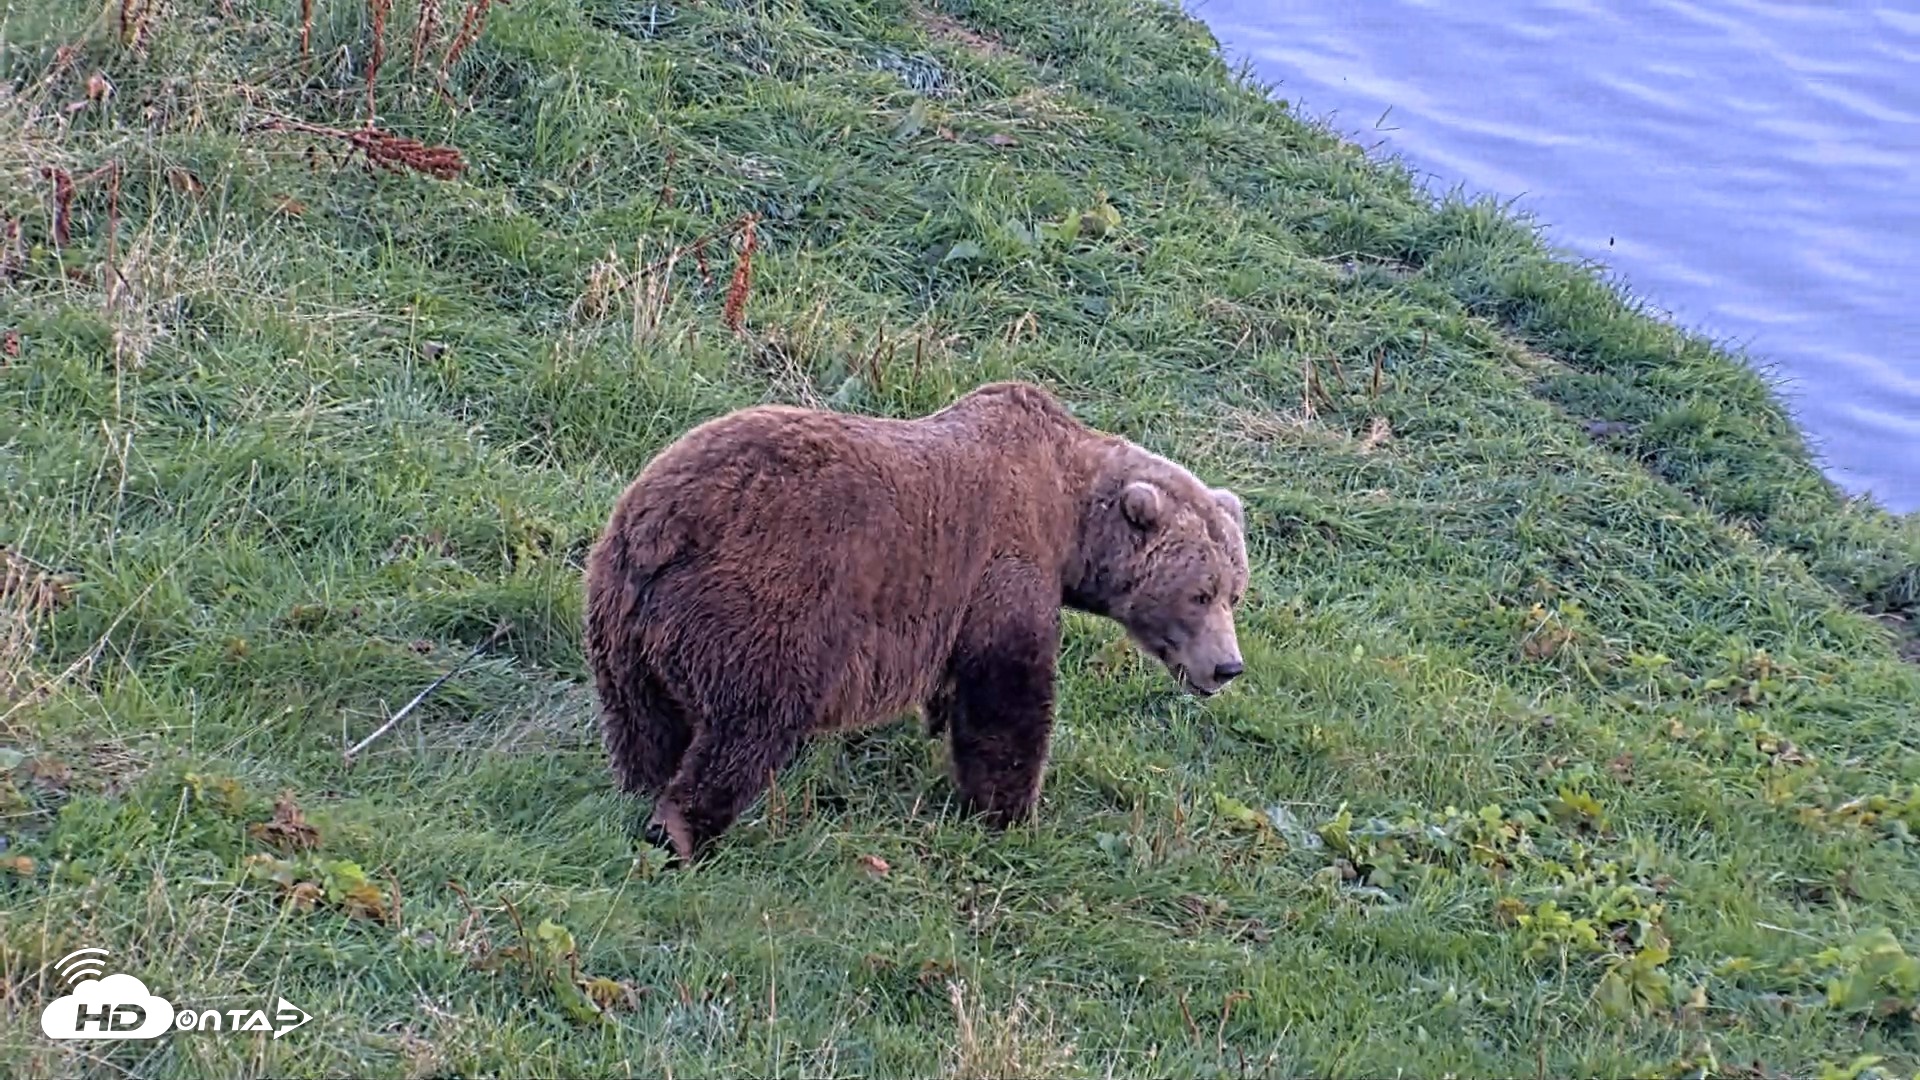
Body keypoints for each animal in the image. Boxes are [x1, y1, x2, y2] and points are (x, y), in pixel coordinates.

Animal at [582, 380, 1250, 864]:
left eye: (1234, 592)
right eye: (1201, 593)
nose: (1227, 666)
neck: (1069, 513)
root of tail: (662, 525)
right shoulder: (1003, 564)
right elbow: (1009, 696)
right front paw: (1008, 813)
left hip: (620, 618)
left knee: (642, 723)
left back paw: (641, 791)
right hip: (759, 606)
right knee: (748, 723)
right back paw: (683, 830)